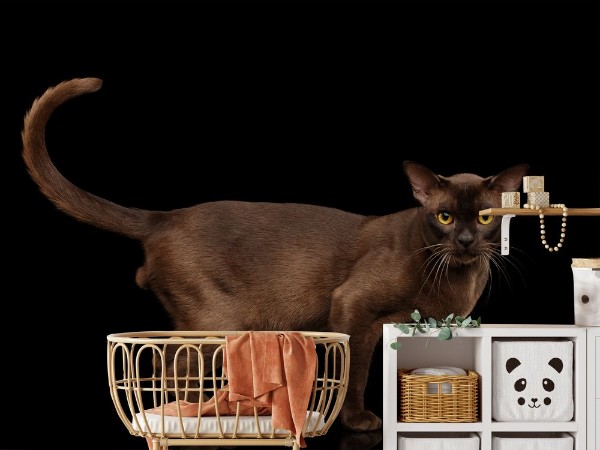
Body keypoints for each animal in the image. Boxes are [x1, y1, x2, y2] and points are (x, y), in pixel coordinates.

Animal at [21, 77, 528, 432]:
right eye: (444, 217)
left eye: (484, 218)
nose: (466, 241)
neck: (454, 277)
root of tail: (164, 216)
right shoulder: (354, 309)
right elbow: (355, 373)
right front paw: (359, 423)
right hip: (219, 324)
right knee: (171, 368)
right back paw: (191, 422)